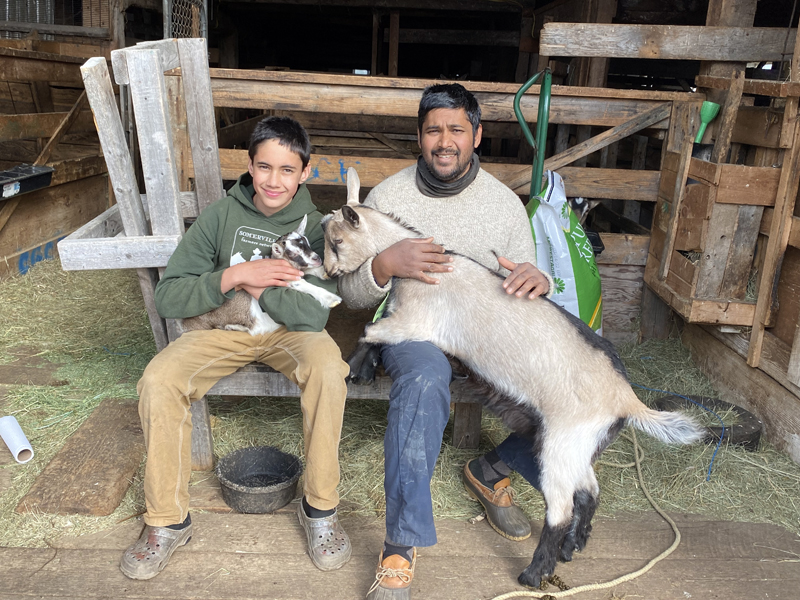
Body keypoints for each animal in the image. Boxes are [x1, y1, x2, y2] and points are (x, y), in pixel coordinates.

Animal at [322, 168, 704, 584]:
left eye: (337, 241)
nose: (328, 271)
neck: (422, 270)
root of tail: (627, 398)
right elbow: (377, 330)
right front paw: (364, 365)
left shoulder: (416, 321)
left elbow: (370, 331)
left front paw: (356, 364)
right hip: (581, 444)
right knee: (589, 490)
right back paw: (572, 547)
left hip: (562, 442)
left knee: (561, 508)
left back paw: (535, 573)